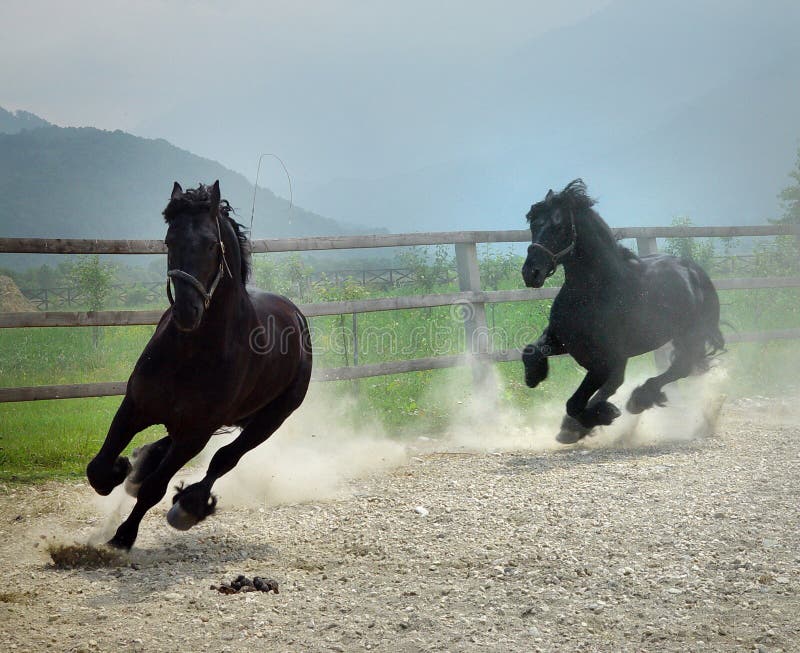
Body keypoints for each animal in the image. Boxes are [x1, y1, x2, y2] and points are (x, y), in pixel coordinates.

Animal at [86, 181, 312, 548]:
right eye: (169, 240)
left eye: (209, 244)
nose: (187, 312)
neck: (192, 352)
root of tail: (295, 314)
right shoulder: (136, 406)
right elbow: (100, 469)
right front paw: (121, 470)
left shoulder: (197, 433)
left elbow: (155, 489)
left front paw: (122, 538)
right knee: (167, 448)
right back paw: (141, 466)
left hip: (270, 419)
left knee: (225, 458)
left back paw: (188, 507)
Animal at [520, 178, 724, 444]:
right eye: (534, 224)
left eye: (560, 226)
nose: (531, 272)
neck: (594, 292)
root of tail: (694, 271)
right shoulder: (562, 340)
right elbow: (531, 351)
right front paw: (534, 376)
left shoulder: (604, 361)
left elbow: (575, 403)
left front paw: (597, 417)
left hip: (689, 337)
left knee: (680, 367)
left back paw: (638, 399)